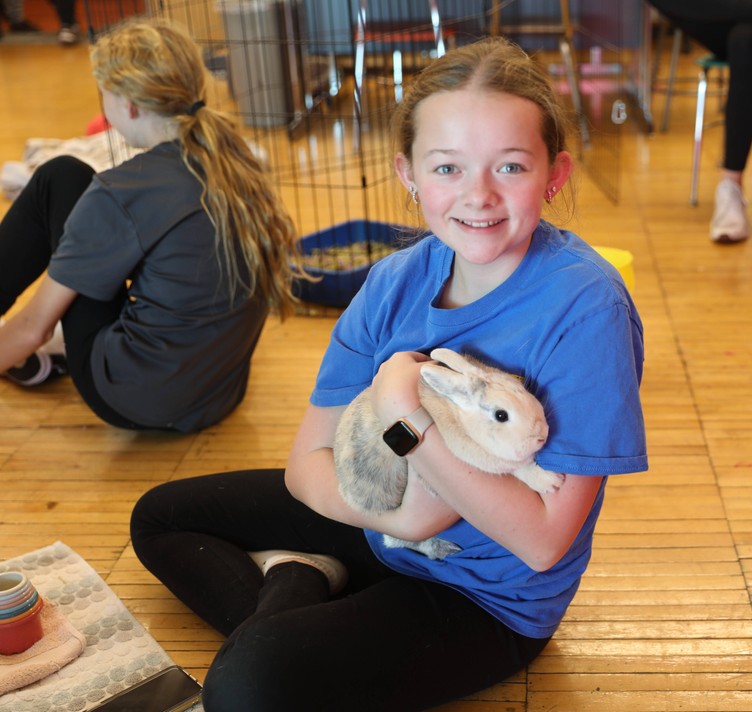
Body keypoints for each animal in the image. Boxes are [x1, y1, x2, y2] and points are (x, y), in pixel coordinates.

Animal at [334, 348, 564, 560]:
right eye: (501, 415)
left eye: (521, 389)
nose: (542, 435)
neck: (459, 415)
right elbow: (520, 469)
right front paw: (551, 482)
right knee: (396, 541)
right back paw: (444, 548)